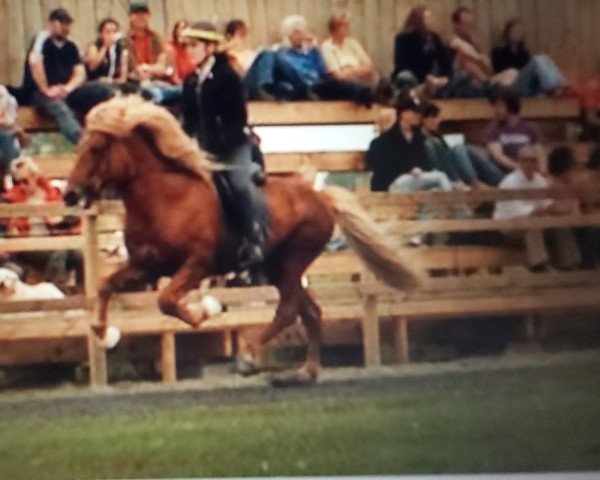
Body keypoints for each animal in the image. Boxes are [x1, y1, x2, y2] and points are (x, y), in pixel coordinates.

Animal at [65, 98, 420, 382]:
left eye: (96, 148)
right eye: (79, 147)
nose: (70, 194)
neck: (166, 197)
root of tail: (318, 196)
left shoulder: (198, 263)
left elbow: (166, 300)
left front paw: (205, 311)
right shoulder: (146, 266)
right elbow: (106, 286)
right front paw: (103, 333)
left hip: (292, 261)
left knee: (289, 310)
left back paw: (249, 357)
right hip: (279, 268)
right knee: (310, 312)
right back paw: (305, 373)